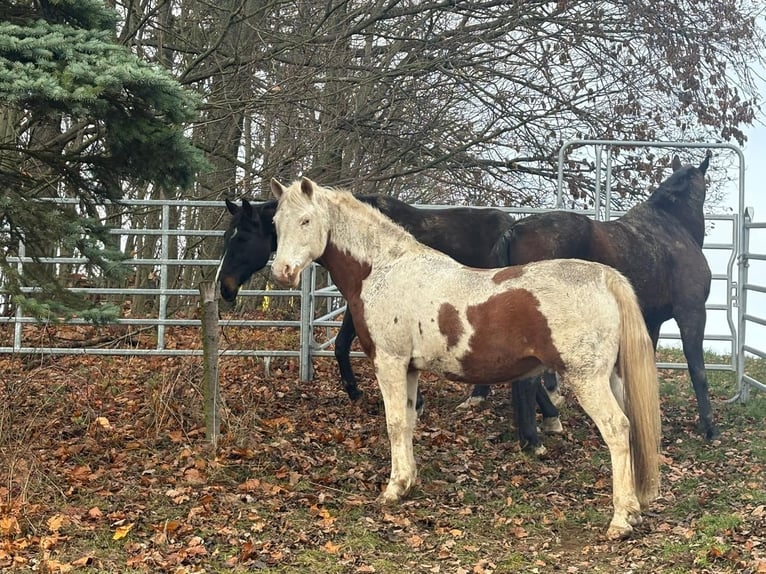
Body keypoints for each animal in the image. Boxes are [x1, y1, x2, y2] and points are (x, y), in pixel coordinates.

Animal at [216, 194, 561, 448]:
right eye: (226, 237)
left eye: (242, 237)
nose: (225, 287)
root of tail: (511, 226)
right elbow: (341, 346)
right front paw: (357, 391)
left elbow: (344, 345)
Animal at [268, 177, 661, 539]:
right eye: (275, 222)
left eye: (305, 220)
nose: (282, 272)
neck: (384, 271)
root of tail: (605, 278)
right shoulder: (410, 369)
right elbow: (408, 423)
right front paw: (407, 482)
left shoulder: (389, 362)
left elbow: (394, 423)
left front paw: (392, 490)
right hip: (613, 378)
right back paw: (633, 512)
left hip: (586, 379)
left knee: (617, 429)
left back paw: (620, 520)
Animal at [468, 154, 717, 442]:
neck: (673, 228)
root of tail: (515, 229)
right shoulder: (691, 312)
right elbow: (698, 370)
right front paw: (709, 428)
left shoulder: (651, 322)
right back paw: (535, 437)